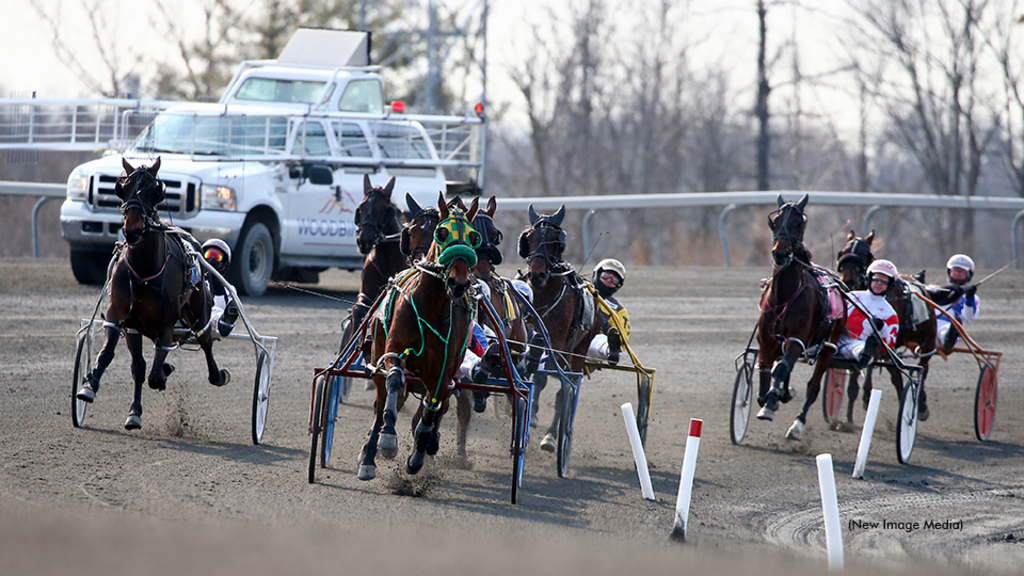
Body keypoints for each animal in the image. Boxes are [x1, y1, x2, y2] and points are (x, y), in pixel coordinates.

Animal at [75, 155, 228, 426]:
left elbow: (156, 374)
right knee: (140, 366)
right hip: (139, 328)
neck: (145, 271)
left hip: (200, 314)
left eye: (154, 191)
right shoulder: (121, 317)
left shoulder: (166, 325)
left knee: (206, 341)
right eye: (123, 188)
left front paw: (163, 373)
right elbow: (113, 356)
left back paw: (216, 374)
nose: (132, 229)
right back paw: (135, 409)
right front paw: (89, 386)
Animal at [358, 190, 481, 477]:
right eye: (443, 233)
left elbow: (432, 407)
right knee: (381, 401)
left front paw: (419, 452)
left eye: (473, 237)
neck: (430, 307)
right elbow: (394, 380)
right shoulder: (393, 349)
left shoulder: (444, 371)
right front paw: (387, 439)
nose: (458, 283)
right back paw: (370, 453)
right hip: (376, 355)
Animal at [516, 203, 598, 450]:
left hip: (577, 353)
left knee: (565, 390)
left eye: (555, 240)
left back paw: (551, 437)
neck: (543, 296)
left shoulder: (558, 342)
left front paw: (534, 416)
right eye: (529, 238)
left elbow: (545, 377)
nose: (537, 273)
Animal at [753, 194, 847, 436]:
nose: (780, 253)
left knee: (813, 387)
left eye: (798, 223)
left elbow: (781, 370)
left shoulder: (797, 340)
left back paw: (797, 425)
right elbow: (766, 372)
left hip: (829, 347)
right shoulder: (766, 341)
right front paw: (770, 398)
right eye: (775, 221)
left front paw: (770, 404)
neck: (783, 298)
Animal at [831, 230, 937, 420]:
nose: (848, 281)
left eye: (865, 254)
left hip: (928, 340)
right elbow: (855, 374)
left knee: (923, 367)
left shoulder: (890, 343)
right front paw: (848, 418)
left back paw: (921, 404)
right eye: (843, 252)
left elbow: (897, 374)